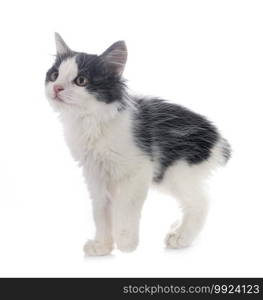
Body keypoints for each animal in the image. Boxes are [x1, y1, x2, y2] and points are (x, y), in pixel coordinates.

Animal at [44, 34, 231, 256]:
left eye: (81, 81)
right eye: (55, 75)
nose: (56, 88)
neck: (92, 122)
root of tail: (217, 138)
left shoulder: (138, 170)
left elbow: (125, 207)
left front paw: (126, 243)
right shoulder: (95, 175)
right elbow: (100, 211)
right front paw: (102, 246)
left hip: (175, 171)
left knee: (200, 202)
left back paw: (181, 237)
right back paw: (177, 229)